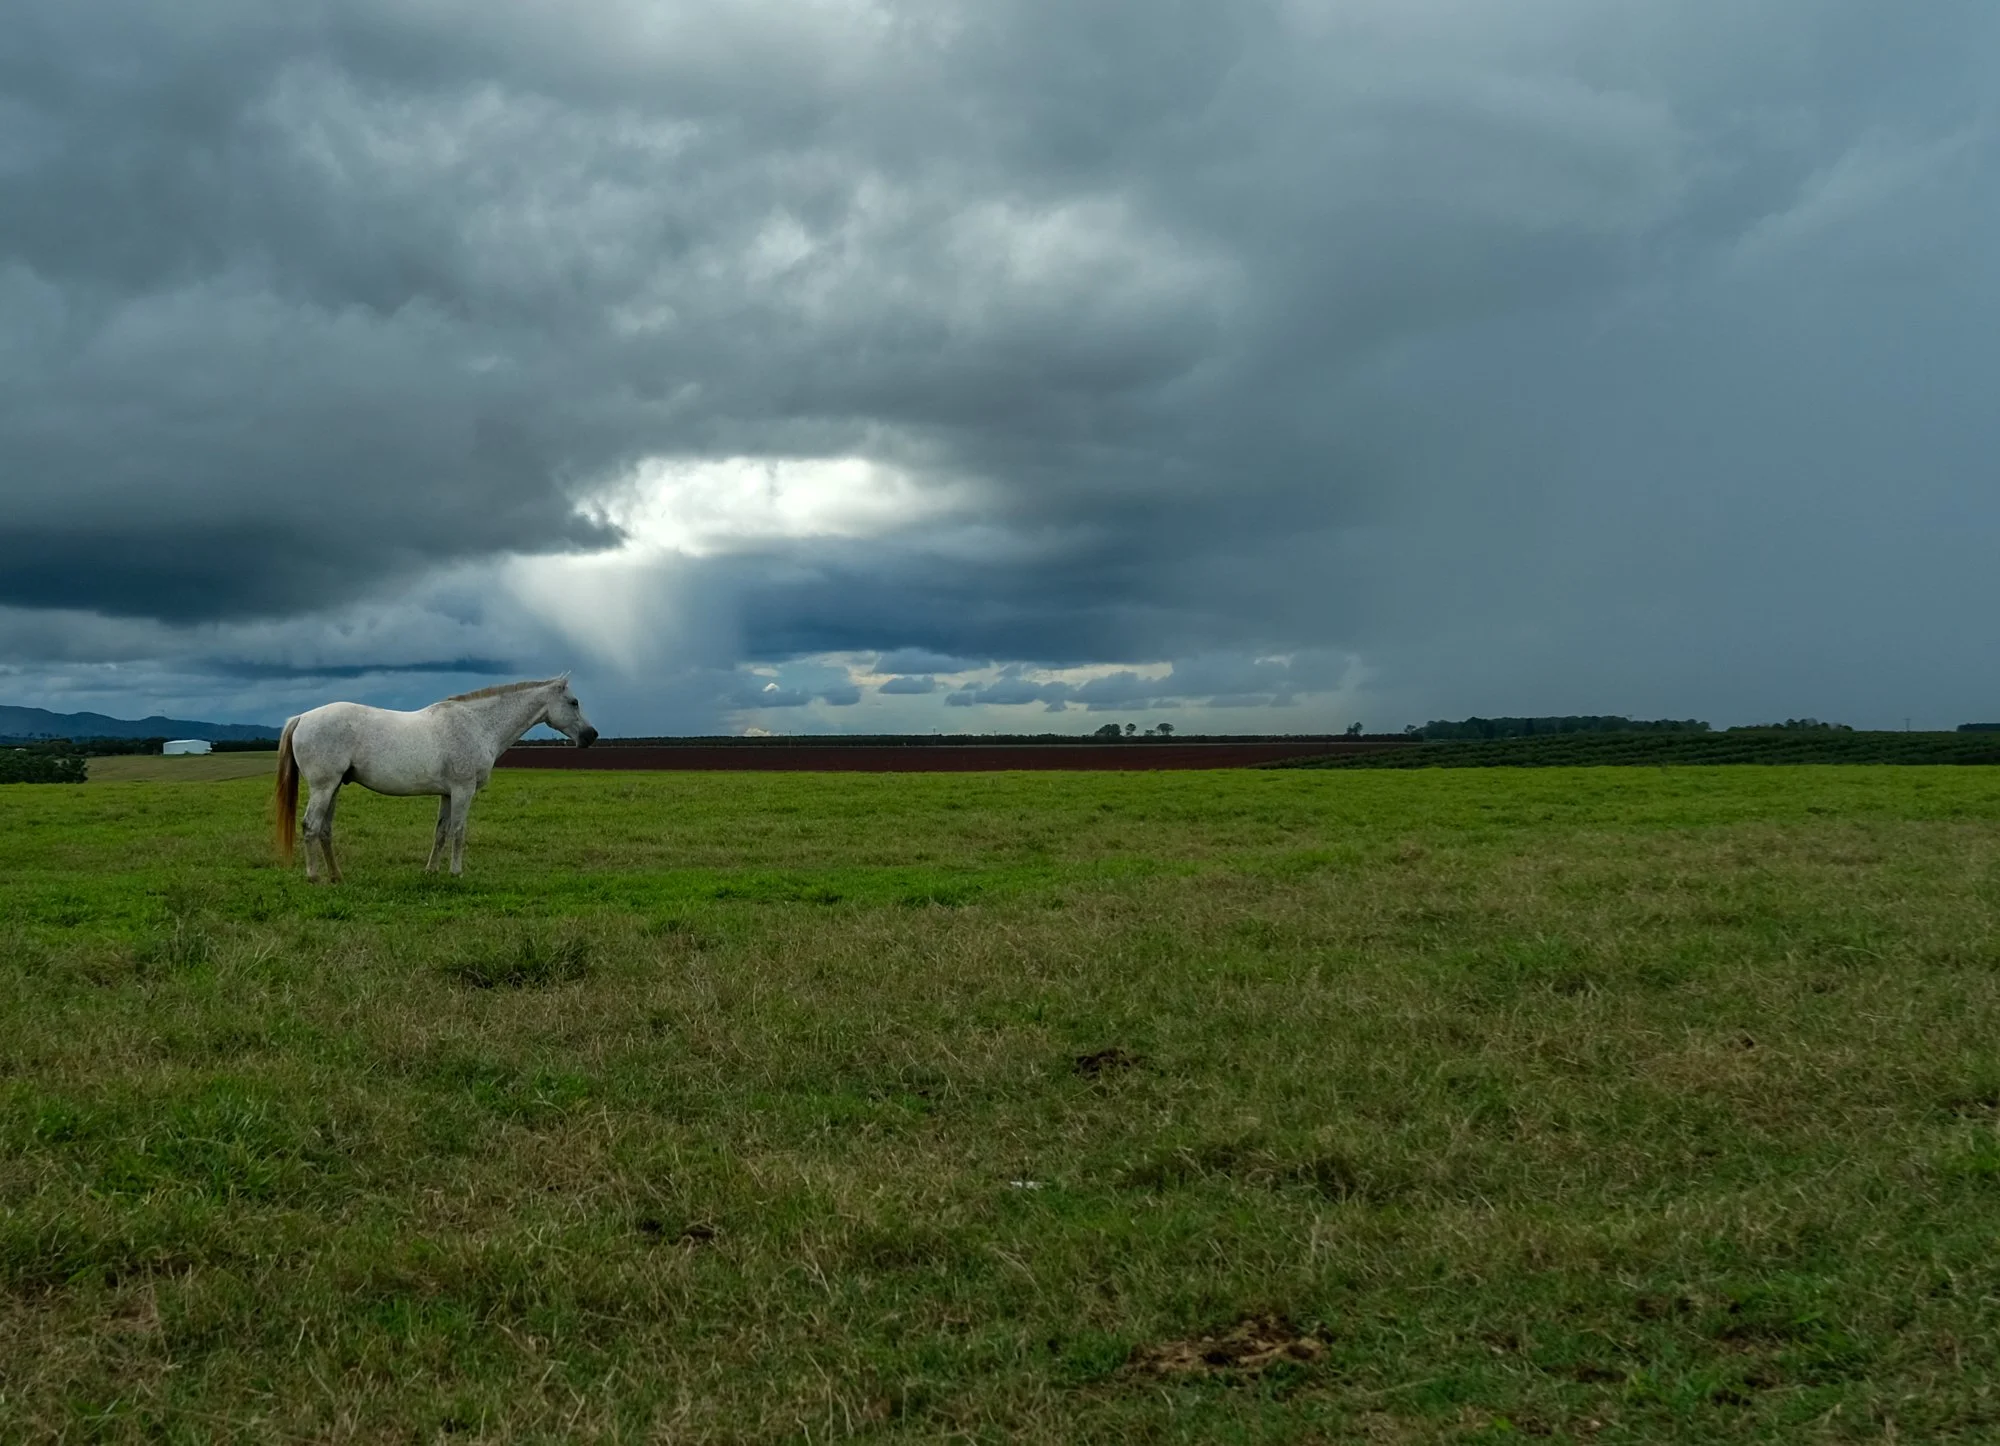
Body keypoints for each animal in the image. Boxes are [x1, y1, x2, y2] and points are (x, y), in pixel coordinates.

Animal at [275, 676, 597, 882]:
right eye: (573, 702)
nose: (591, 736)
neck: (477, 724)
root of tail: (302, 718)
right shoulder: (463, 790)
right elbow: (458, 831)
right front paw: (456, 873)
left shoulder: (448, 793)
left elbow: (440, 832)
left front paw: (431, 871)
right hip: (323, 787)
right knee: (310, 826)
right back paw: (314, 877)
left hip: (334, 788)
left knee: (325, 829)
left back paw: (336, 876)